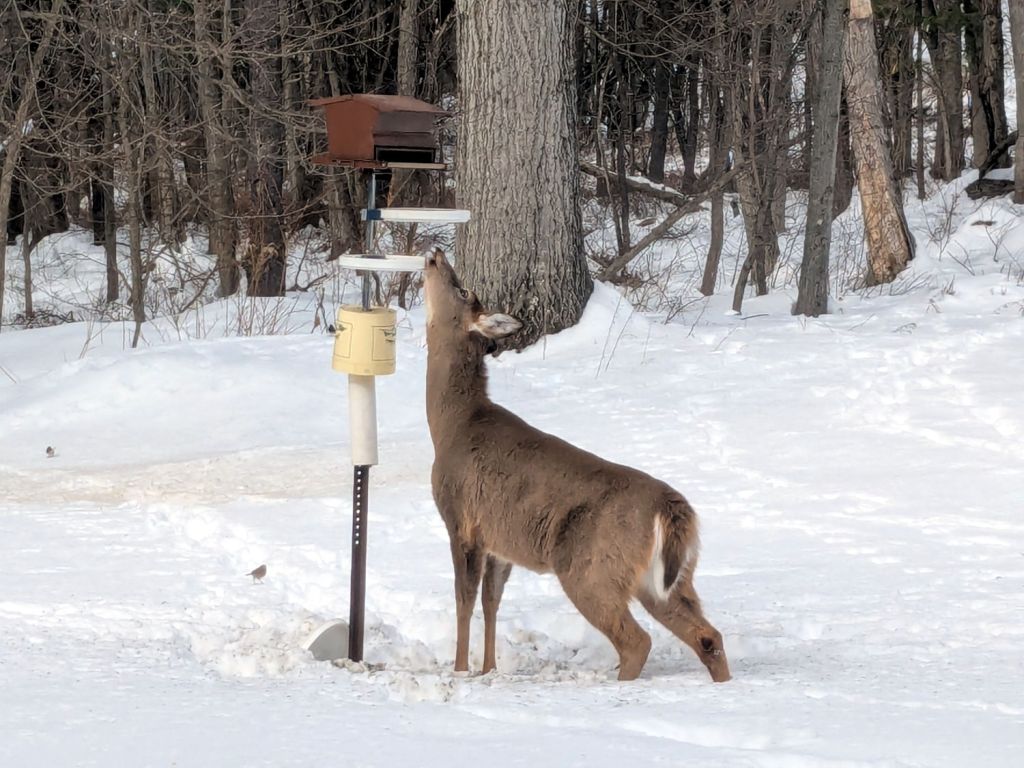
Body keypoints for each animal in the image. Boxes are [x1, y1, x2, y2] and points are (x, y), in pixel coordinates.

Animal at [423, 249, 730, 683]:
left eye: (463, 289)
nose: (435, 254)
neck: (453, 425)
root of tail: (672, 507)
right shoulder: (500, 541)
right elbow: (491, 602)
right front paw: (488, 669)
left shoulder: (461, 520)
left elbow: (463, 601)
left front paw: (461, 670)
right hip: (666, 578)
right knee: (707, 635)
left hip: (588, 567)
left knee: (638, 640)